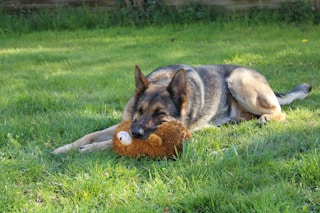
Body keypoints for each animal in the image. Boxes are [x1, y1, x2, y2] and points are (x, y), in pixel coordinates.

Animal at [52, 64, 310, 154]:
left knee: (280, 112)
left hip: (238, 80)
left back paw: (265, 118)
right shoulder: (123, 123)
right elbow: (90, 134)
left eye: (160, 114)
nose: (135, 132)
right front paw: (64, 148)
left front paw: (88, 149)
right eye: (140, 110)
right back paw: (236, 120)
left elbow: (110, 142)